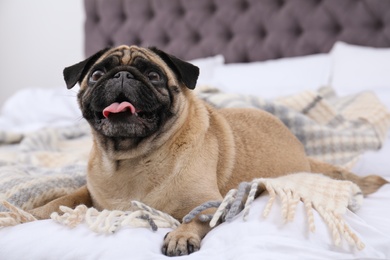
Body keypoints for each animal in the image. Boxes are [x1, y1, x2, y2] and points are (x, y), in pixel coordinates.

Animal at [29, 44, 386, 256]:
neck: (133, 158)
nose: (122, 75)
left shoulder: (209, 202)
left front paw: (180, 236)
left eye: (153, 75)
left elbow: (196, 216)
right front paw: (33, 213)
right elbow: (66, 199)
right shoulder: (91, 194)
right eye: (97, 74)